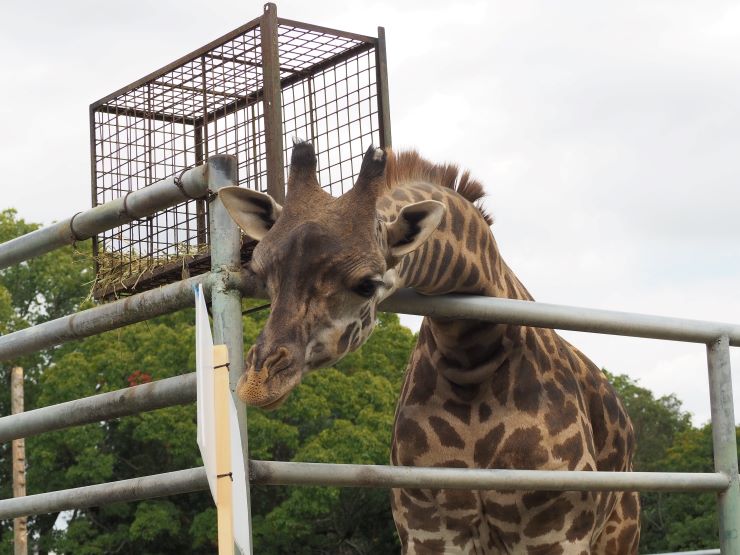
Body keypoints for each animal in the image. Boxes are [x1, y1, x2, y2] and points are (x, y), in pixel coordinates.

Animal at [217, 141, 640, 552]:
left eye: (367, 284)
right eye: (263, 274)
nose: (258, 384)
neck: (471, 357)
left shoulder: (557, 533)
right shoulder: (428, 531)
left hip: (620, 531)